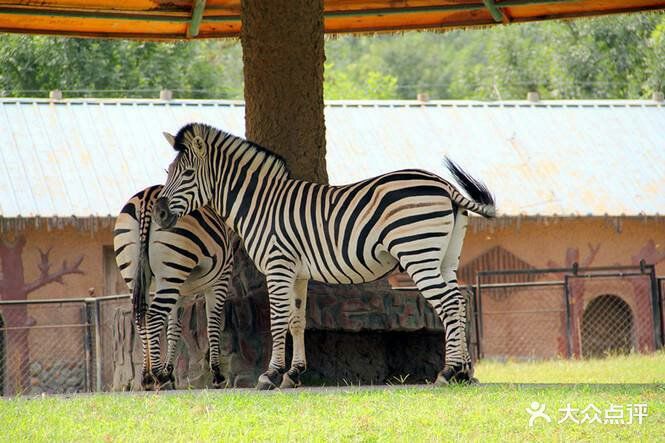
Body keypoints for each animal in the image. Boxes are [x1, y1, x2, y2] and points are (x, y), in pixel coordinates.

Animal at [115, 186, 235, 390]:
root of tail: (147, 196)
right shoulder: (220, 280)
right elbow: (213, 324)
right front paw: (217, 374)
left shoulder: (180, 291)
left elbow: (173, 329)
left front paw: (168, 370)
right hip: (172, 270)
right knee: (153, 317)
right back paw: (157, 376)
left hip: (139, 274)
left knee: (140, 318)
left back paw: (147, 377)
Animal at [152, 123, 492, 390]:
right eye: (168, 172)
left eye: (187, 173)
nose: (159, 214)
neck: (260, 204)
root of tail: (445, 185)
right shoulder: (297, 273)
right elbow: (296, 320)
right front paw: (293, 374)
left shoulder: (278, 265)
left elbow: (277, 320)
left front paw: (269, 375)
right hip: (445, 259)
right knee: (460, 302)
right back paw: (464, 373)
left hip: (418, 254)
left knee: (449, 305)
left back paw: (447, 372)